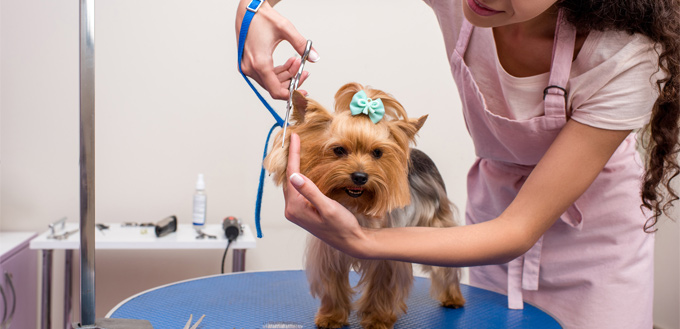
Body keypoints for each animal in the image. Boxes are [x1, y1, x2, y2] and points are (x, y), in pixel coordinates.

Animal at [262, 82, 464, 328]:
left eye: (377, 153)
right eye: (339, 150)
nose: (360, 176)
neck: (353, 204)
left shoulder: (385, 254)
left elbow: (382, 287)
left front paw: (378, 318)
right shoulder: (329, 251)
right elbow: (333, 284)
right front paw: (331, 316)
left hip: (436, 220)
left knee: (447, 267)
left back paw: (452, 297)